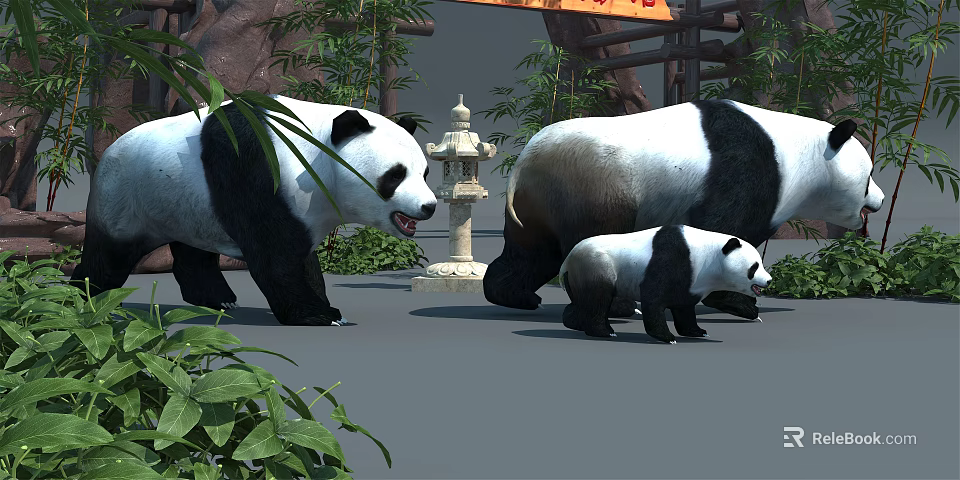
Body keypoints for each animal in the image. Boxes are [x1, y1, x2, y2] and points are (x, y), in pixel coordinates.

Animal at [71, 95, 438, 327]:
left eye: (424, 172)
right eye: (395, 175)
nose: (429, 207)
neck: (313, 151)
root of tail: (108, 151)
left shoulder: (307, 204)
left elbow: (302, 257)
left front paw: (323, 304)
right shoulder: (254, 166)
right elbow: (273, 252)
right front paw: (320, 315)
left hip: (186, 205)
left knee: (193, 250)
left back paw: (217, 299)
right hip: (128, 196)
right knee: (110, 256)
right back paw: (87, 298)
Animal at [484, 99, 885, 321]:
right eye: (868, 174)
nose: (879, 201)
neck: (797, 151)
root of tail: (523, 165)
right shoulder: (748, 168)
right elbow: (728, 227)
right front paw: (740, 304)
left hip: (541, 202)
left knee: (533, 253)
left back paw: (516, 297)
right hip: (593, 186)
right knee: (590, 239)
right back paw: (618, 308)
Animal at [558, 225, 773, 344]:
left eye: (760, 264)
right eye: (754, 267)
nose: (769, 280)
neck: (708, 254)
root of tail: (567, 260)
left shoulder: (692, 281)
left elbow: (684, 307)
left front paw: (697, 332)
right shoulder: (672, 259)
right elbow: (653, 298)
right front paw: (668, 337)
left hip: (580, 275)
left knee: (582, 302)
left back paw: (576, 323)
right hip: (598, 266)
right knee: (598, 299)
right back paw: (604, 331)